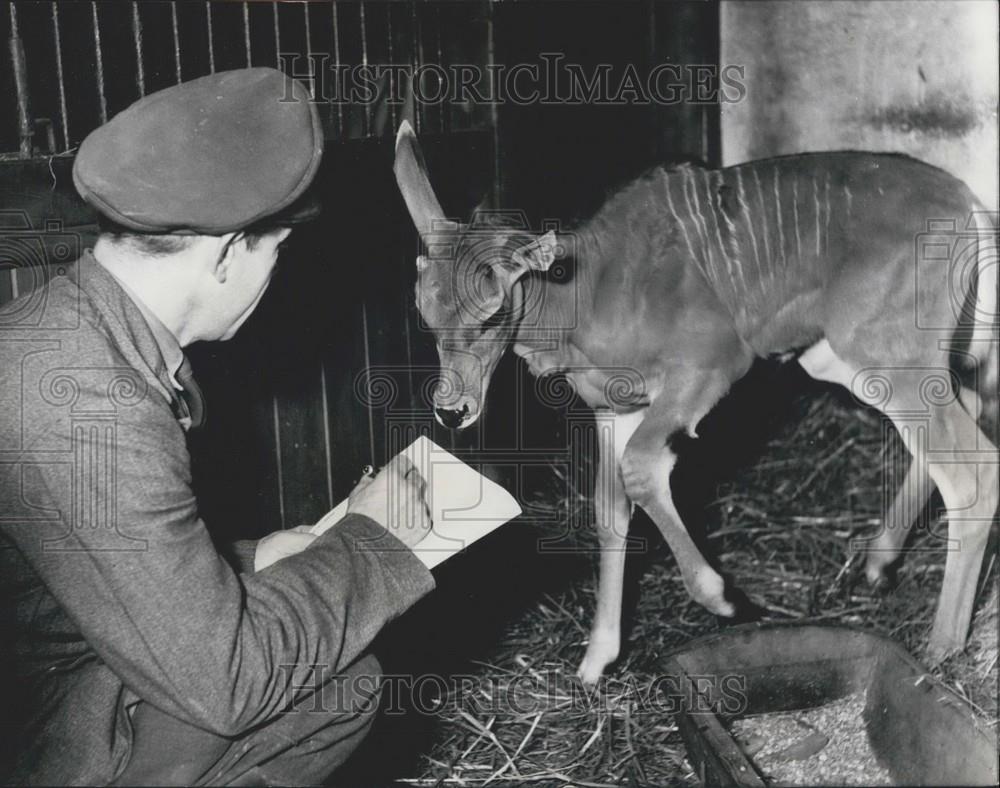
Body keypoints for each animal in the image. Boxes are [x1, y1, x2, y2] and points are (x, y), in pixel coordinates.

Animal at [394, 121, 996, 684]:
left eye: (493, 312)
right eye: (423, 312)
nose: (452, 410)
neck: (586, 296)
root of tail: (970, 206)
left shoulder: (710, 365)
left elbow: (641, 469)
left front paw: (723, 597)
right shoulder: (614, 407)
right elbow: (610, 509)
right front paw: (594, 663)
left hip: (887, 353)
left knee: (973, 471)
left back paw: (942, 648)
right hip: (871, 357)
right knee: (963, 414)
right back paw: (879, 560)